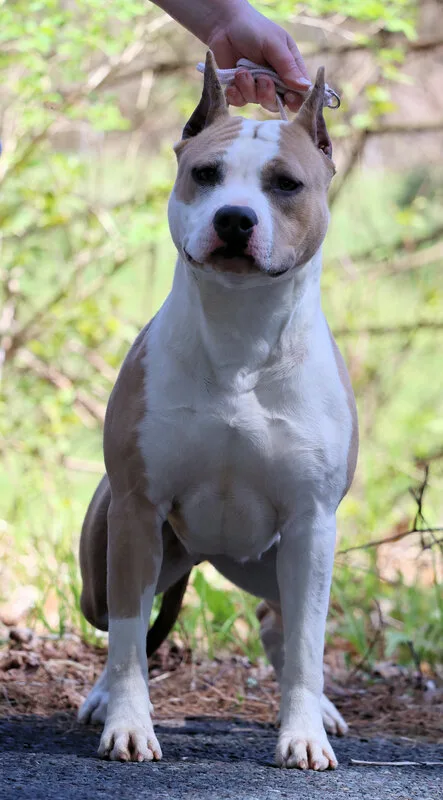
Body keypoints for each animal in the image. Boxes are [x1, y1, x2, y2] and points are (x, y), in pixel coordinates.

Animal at [77, 52, 358, 771]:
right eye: (205, 174)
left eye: (285, 184)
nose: (235, 218)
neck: (241, 337)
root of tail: (206, 554)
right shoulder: (137, 510)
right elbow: (128, 637)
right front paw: (127, 724)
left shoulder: (312, 525)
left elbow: (307, 646)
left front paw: (302, 733)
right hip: (116, 552)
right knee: (115, 617)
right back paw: (101, 698)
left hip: (279, 560)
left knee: (278, 622)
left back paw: (319, 710)